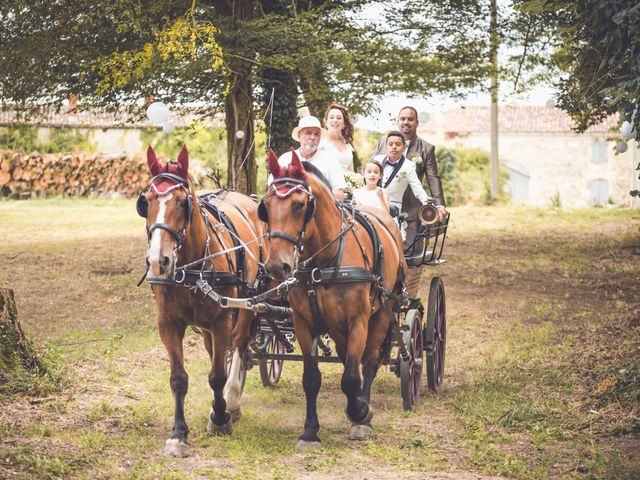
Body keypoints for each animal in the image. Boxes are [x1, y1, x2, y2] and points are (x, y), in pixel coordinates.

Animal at [138, 144, 262, 456]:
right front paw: (178, 433)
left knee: (239, 345)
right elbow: (179, 378)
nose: (158, 261)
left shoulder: (221, 321)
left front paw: (220, 417)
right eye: (146, 201)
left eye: (183, 202)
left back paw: (231, 400)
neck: (191, 268)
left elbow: (217, 374)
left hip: (247, 304)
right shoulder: (168, 324)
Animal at [258, 150, 402, 450]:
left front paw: (360, 413)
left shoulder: (358, 321)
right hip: (336, 328)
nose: (277, 266)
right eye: (266, 205)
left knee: (369, 361)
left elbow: (352, 376)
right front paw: (310, 431)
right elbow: (312, 378)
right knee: (348, 357)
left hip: (383, 312)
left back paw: (362, 410)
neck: (324, 261)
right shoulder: (304, 323)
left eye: (299, 205)